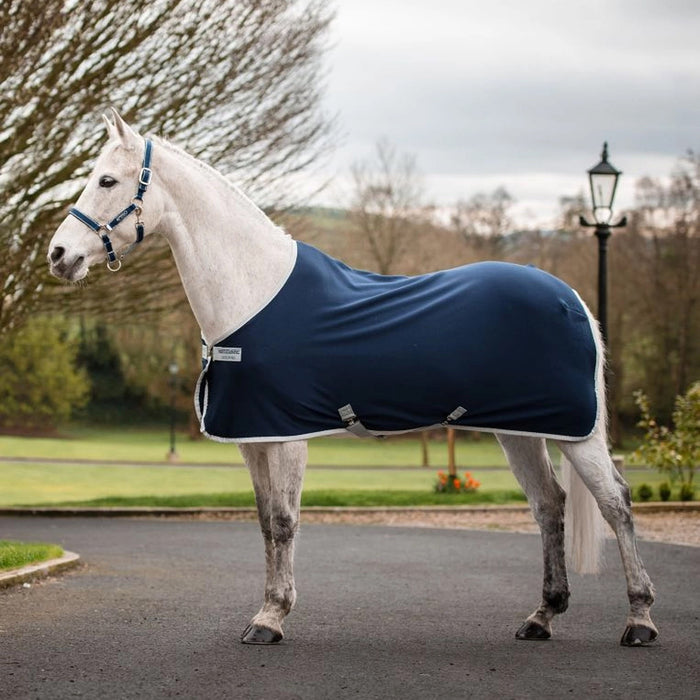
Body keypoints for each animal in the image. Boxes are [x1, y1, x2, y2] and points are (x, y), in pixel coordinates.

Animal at [48, 110, 657, 647]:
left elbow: (285, 521)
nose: (58, 254)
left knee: (616, 503)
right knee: (550, 505)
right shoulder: (253, 438)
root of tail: (572, 298)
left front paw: (272, 619)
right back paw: (542, 617)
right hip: (521, 432)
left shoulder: (287, 435)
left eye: (107, 179)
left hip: (577, 433)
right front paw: (266, 610)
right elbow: (265, 523)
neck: (254, 289)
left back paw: (640, 621)